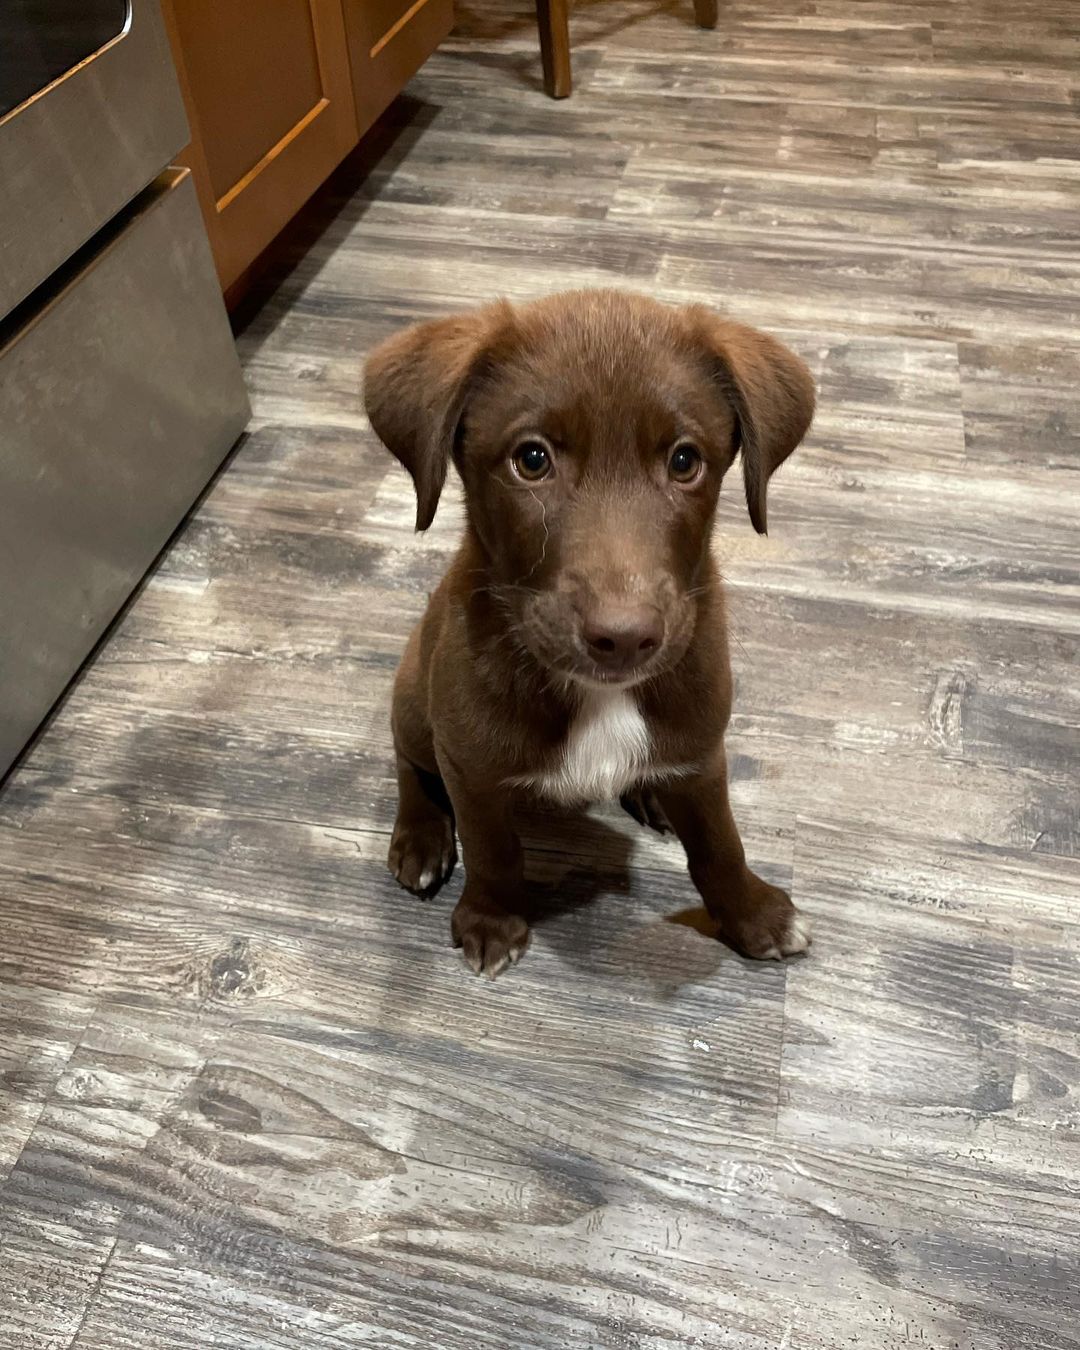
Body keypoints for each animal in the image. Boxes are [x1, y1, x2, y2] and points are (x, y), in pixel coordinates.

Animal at [361, 290, 810, 977]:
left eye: (685, 460)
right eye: (532, 459)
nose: (624, 637)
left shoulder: (702, 749)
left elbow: (720, 842)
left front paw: (754, 914)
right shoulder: (471, 763)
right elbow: (493, 848)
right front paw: (491, 920)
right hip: (415, 690)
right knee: (410, 760)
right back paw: (421, 836)